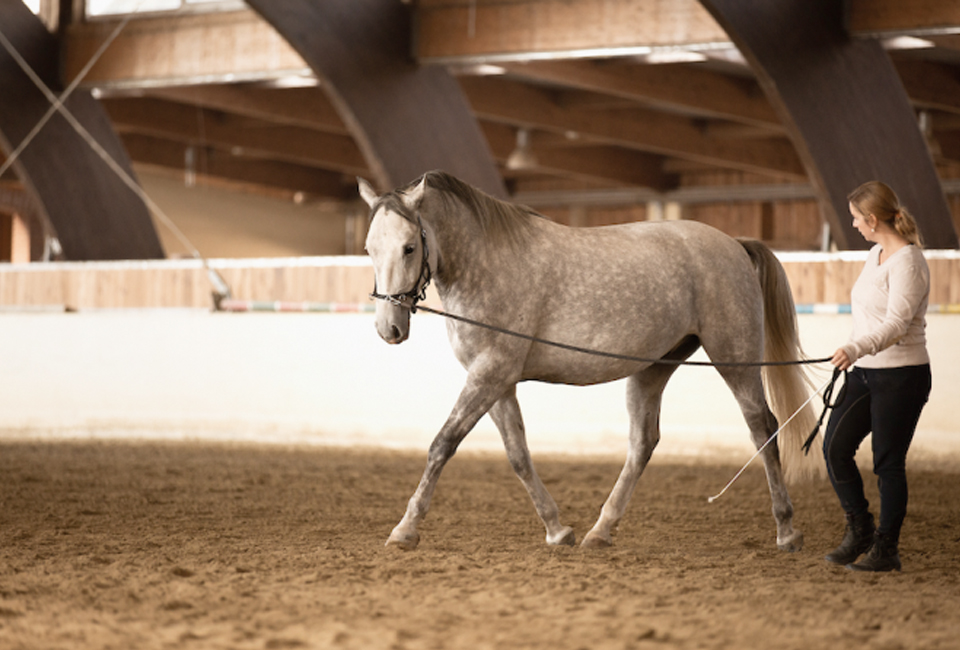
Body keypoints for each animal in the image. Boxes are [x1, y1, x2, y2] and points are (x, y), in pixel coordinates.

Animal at [360, 171, 816, 552]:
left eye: (409, 247)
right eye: (369, 249)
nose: (388, 328)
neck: (485, 264)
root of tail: (734, 244)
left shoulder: (490, 374)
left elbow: (442, 444)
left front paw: (405, 530)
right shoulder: (496, 382)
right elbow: (518, 454)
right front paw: (557, 529)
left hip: (734, 359)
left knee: (763, 427)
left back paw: (787, 530)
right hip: (654, 367)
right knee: (643, 443)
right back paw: (601, 530)